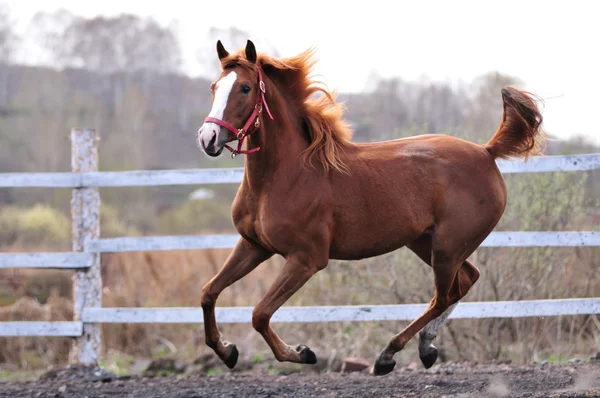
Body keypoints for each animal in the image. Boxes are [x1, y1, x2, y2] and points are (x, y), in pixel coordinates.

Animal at [196, 38, 544, 374]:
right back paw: (425, 347)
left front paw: (301, 353)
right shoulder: (254, 245)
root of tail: (486, 152)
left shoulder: (306, 259)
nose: (207, 138)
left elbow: (259, 313)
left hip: (448, 247)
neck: (284, 175)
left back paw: (388, 355)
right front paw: (227, 351)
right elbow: (208, 292)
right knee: (465, 282)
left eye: (245, 88)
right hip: (427, 243)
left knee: (444, 294)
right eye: (214, 86)